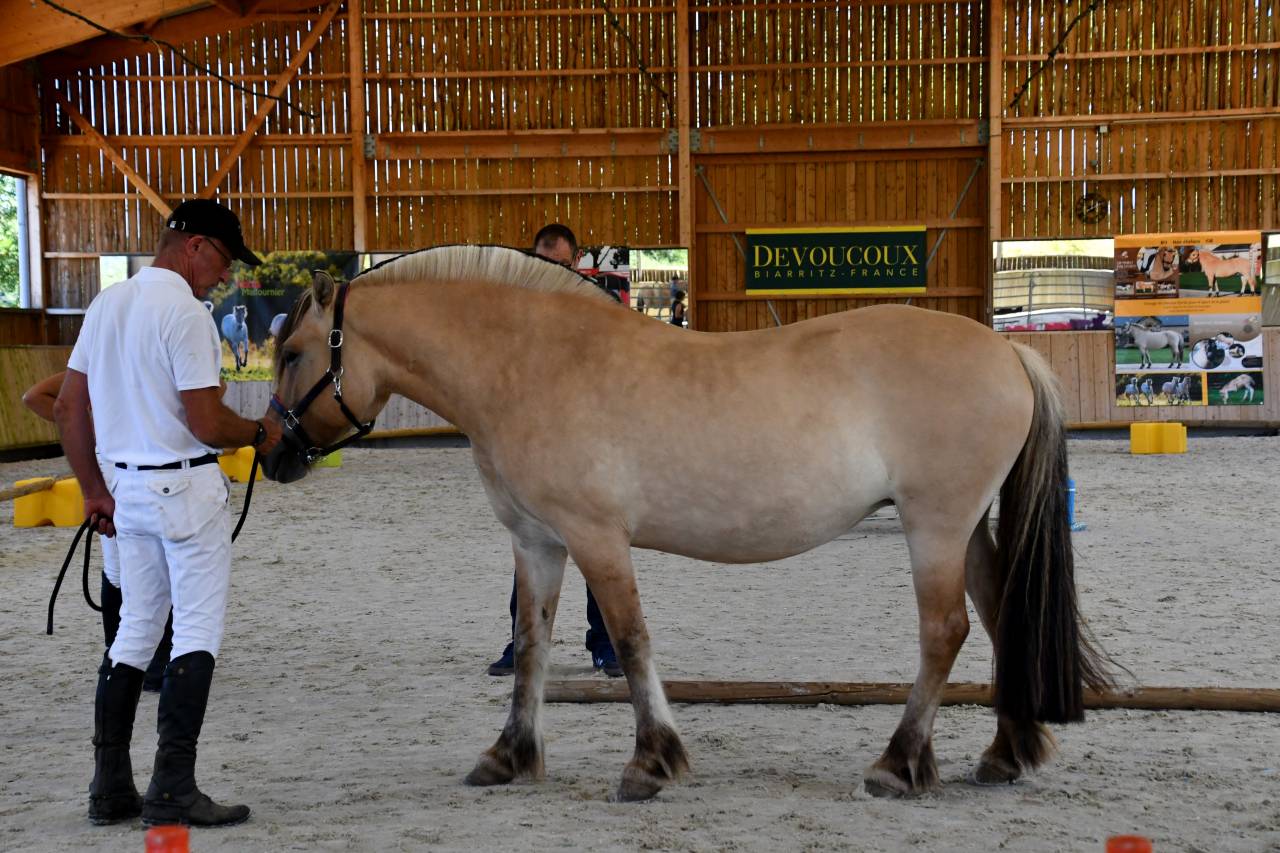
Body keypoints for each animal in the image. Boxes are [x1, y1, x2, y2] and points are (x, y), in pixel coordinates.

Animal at [261, 245, 1113, 802]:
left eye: (295, 352)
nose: (270, 452)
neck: (531, 362)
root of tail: (1005, 350)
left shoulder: (597, 537)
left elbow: (633, 641)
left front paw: (651, 761)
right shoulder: (537, 542)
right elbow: (533, 646)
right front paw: (508, 755)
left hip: (935, 526)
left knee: (946, 632)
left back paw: (897, 764)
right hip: (967, 530)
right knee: (1002, 616)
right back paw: (1006, 754)